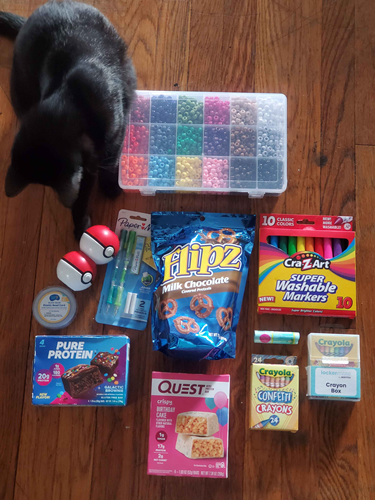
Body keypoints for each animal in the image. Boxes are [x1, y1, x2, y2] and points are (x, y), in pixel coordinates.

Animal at [0, 0, 136, 238]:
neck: (71, 102)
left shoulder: (116, 137)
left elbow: (110, 163)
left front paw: (109, 186)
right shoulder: (86, 164)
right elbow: (84, 191)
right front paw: (81, 223)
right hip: (20, 91)